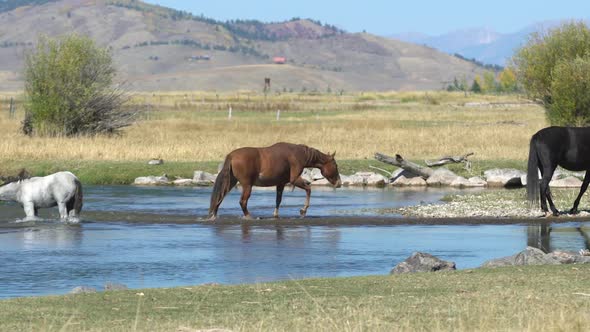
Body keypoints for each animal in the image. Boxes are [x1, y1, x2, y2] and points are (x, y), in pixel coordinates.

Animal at [210, 141, 344, 220]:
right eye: (335, 165)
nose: (339, 183)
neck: (299, 154)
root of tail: (231, 156)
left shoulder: (281, 183)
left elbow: (278, 200)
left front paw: (276, 215)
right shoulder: (294, 179)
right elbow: (308, 189)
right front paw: (303, 210)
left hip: (231, 183)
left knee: (220, 197)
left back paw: (214, 215)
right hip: (247, 185)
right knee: (242, 201)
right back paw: (249, 216)